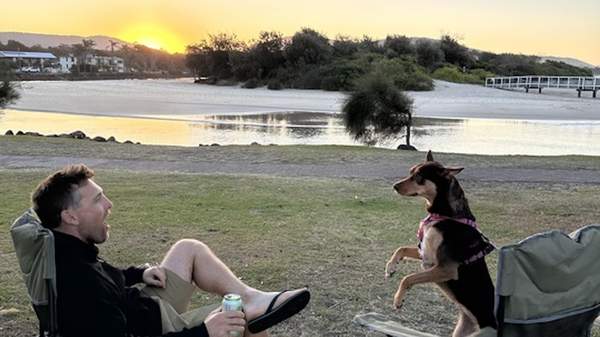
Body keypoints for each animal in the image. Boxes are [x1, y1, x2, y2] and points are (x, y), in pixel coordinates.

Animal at [384, 151, 496, 336]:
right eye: (410, 172)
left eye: (419, 177)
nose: (394, 186)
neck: (445, 215)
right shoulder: (426, 253)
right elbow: (401, 249)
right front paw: (391, 267)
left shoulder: (445, 268)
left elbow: (408, 278)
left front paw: (398, 299)